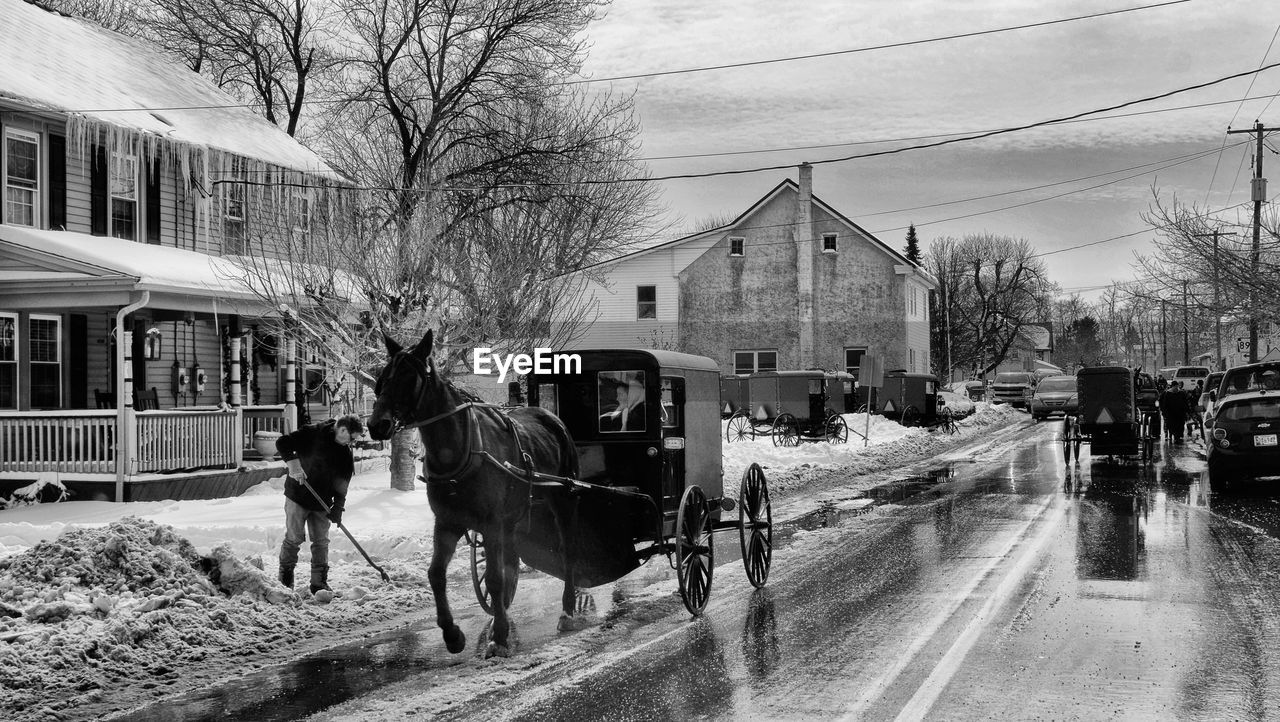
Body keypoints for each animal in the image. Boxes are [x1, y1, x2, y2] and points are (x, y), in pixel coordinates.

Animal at [368, 330, 583, 655]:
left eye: (408, 377)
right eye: (383, 377)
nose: (375, 424)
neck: (457, 451)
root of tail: (551, 416)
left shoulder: (491, 523)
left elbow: (493, 578)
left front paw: (499, 637)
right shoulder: (447, 522)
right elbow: (436, 574)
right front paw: (452, 633)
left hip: (563, 500)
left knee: (568, 550)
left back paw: (568, 610)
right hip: (513, 517)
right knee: (509, 561)